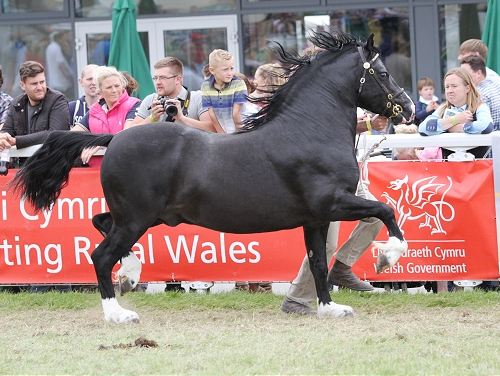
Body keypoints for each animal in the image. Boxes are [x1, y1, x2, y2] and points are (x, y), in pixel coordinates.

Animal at [9, 30, 414, 324]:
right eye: (382, 72)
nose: (408, 108)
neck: (309, 131)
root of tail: (115, 137)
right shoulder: (332, 202)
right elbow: (386, 210)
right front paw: (386, 258)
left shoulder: (316, 217)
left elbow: (317, 261)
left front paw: (331, 309)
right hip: (137, 218)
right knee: (101, 255)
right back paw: (119, 314)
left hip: (143, 216)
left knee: (101, 224)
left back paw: (132, 273)